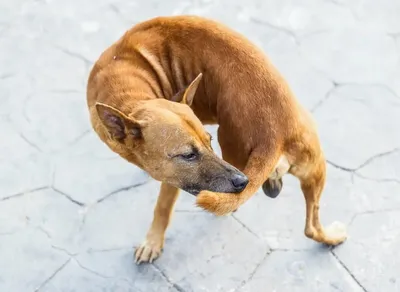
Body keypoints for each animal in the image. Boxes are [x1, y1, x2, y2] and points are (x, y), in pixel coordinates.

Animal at [86, 14, 346, 264]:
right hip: (312, 168)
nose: (242, 181)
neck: (128, 91)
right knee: (311, 227)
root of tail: (274, 132)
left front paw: (152, 242)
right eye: (189, 155)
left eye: (208, 141)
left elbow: (162, 207)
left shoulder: (172, 180)